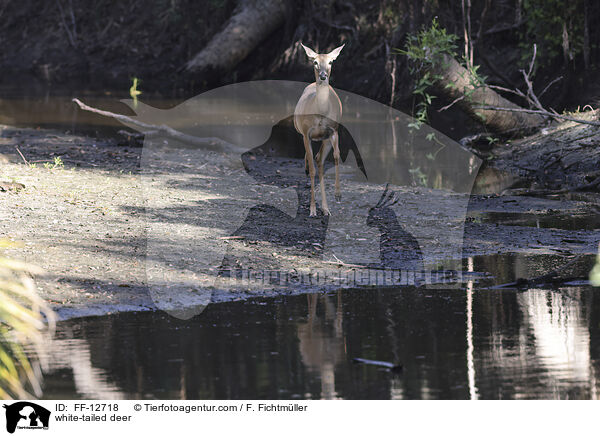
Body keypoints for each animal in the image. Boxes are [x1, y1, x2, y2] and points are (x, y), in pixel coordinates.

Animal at [294, 42, 344, 216]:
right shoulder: (306, 133)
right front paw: (312, 209)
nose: (323, 76)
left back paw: (326, 208)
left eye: (331, 62)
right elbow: (313, 169)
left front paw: (338, 194)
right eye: (315, 62)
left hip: (325, 139)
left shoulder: (333, 130)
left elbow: (337, 156)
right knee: (314, 161)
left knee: (319, 160)